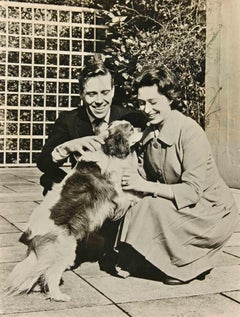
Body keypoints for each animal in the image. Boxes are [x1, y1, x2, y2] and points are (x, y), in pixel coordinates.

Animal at [7, 119, 142, 300]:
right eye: (131, 129)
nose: (141, 128)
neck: (107, 150)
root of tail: (30, 236)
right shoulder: (116, 192)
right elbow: (131, 193)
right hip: (65, 251)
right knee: (51, 274)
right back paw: (59, 296)